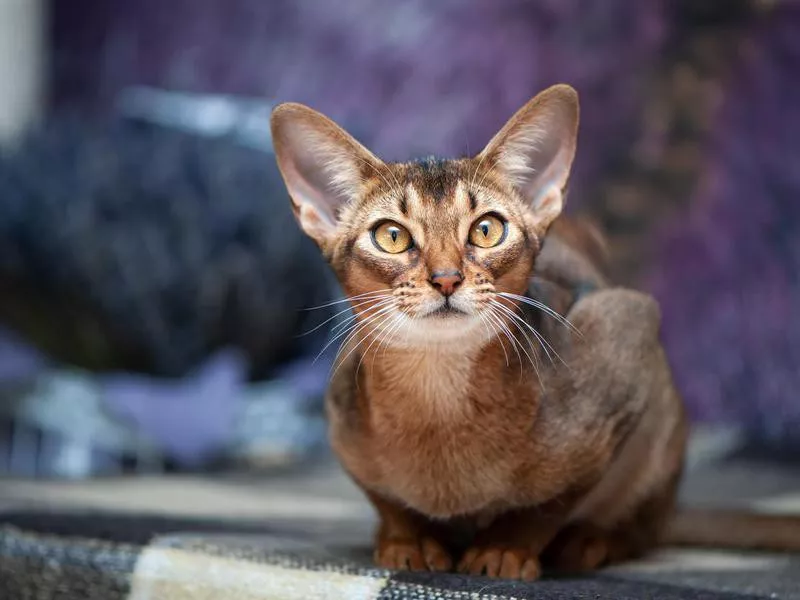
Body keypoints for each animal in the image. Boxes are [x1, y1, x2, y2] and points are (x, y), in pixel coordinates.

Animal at [270, 85, 800, 580]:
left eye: (486, 229)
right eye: (392, 236)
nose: (446, 278)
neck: (439, 397)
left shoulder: (626, 334)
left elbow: (554, 501)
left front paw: (504, 548)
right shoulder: (341, 410)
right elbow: (387, 498)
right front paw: (408, 540)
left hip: (661, 423)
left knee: (645, 526)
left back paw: (592, 542)